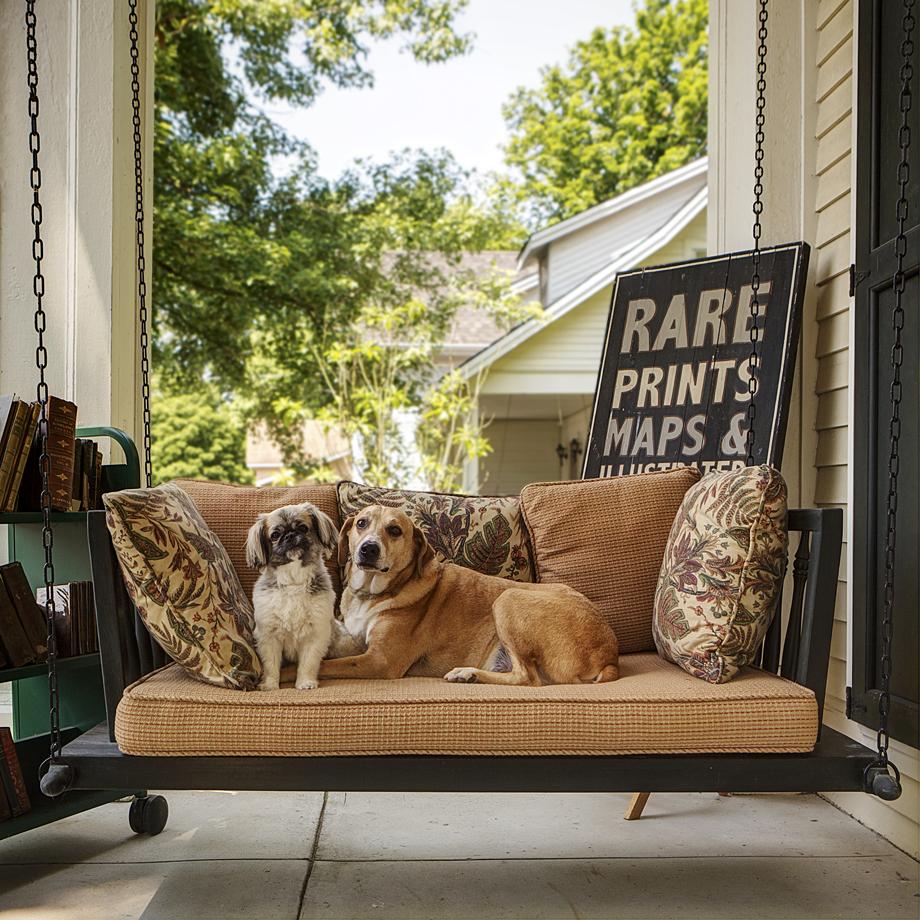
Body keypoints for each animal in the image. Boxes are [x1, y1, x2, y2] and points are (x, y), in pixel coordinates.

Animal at [244, 504, 344, 688]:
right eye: (275, 535)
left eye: (303, 528)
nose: (290, 535)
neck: (293, 582)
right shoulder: (269, 636)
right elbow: (270, 664)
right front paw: (269, 685)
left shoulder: (315, 634)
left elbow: (308, 663)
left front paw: (305, 683)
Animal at [312, 504, 620, 684]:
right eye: (361, 523)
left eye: (395, 530)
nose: (368, 549)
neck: (372, 592)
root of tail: (610, 657)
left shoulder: (379, 661)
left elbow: (324, 665)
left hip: (508, 599)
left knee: (528, 679)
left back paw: (466, 673)